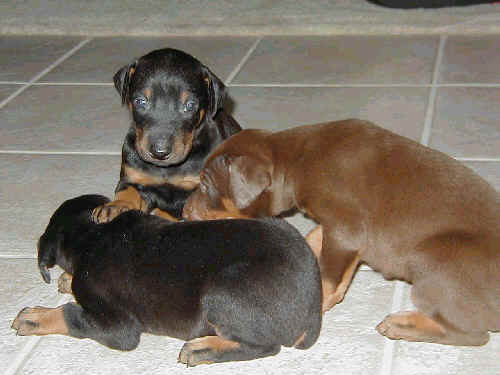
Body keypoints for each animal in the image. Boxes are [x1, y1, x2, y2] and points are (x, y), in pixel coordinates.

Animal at [13, 195, 324, 366]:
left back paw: (203, 348)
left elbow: (71, 315)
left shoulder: (118, 328)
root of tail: (313, 310)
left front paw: (34, 316)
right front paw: (66, 279)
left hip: (222, 293)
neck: (95, 235)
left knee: (265, 346)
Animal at [94, 47, 242, 223]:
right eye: (140, 101)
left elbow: (175, 211)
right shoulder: (134, 177)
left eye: (190, 105)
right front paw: (114, 206)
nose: (160, 152)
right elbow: (127, 190)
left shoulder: (196, 193)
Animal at [184, 119, 500, 346]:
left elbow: (328, 278)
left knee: (473, 335)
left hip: (433, 258)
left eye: (206, 185)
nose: (184, 211)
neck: (297, 159)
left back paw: (403, 325)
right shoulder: (332, 225)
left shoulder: (347, 229)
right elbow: (314, 240)